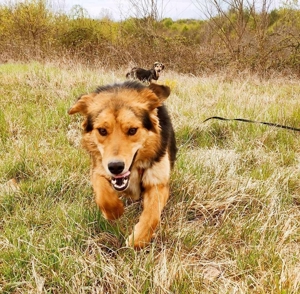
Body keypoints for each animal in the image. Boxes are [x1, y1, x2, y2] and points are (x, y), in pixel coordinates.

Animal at [69, 80, 177, 248]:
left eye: (132, 130)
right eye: (102, 130)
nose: (115, 167)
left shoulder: (157, 182)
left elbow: (152, 214)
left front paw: (138, 240)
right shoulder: (98, 169)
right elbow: (103, 193)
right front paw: (115, 212)